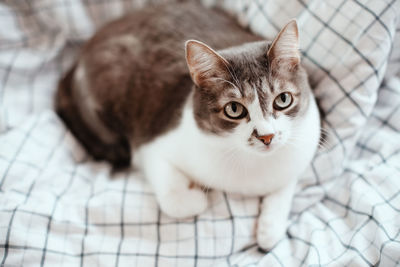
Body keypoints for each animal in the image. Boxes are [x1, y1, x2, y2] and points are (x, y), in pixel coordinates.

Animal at [56, 1, 320, 251]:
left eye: (283, 99)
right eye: (234, 109)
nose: (266, 136)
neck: (253, 163)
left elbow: (287, 182)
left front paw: (269, 227)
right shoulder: (151, 144)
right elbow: (175, 200)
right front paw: (199, 195)